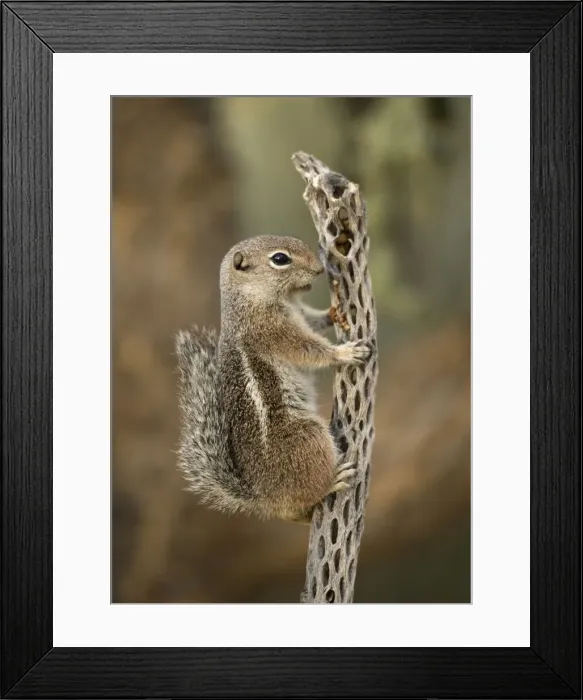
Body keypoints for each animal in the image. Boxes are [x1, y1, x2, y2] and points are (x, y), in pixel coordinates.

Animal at [175, 235, 370, 523]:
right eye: (280, 259)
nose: (318, 270)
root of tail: (266, 500)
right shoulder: (273, 331)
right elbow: (308, 350)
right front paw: (343, 353)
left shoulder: (300, 314)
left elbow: (314, 322)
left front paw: (332, 313)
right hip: (307, 436)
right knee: (312, 490)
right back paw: (333, 479)